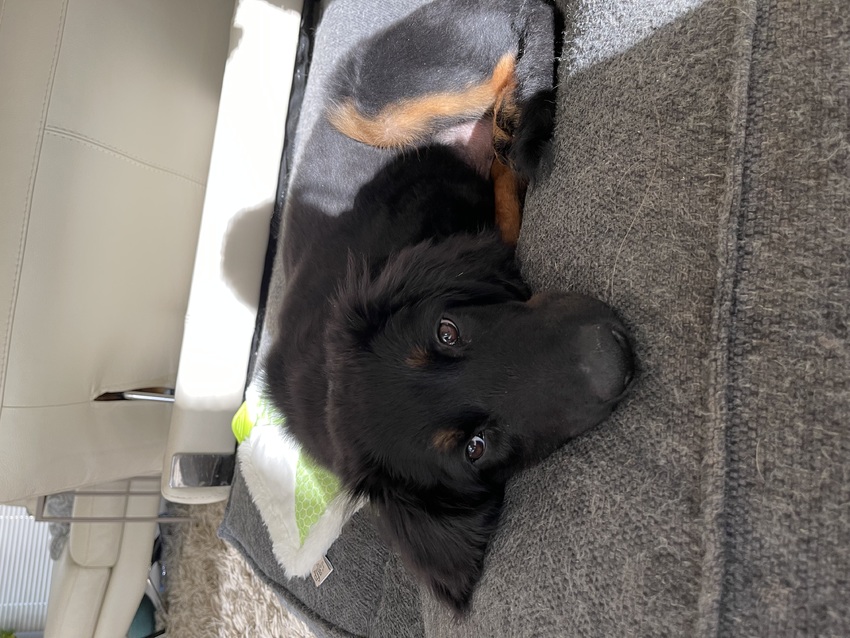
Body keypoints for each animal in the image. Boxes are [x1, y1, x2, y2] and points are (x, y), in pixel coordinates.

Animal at [264, 0, 635, 613]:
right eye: (475, 450)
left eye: (447, 331)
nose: (612, 357)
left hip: (364, 105)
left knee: (527, 19)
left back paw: (524, 114)